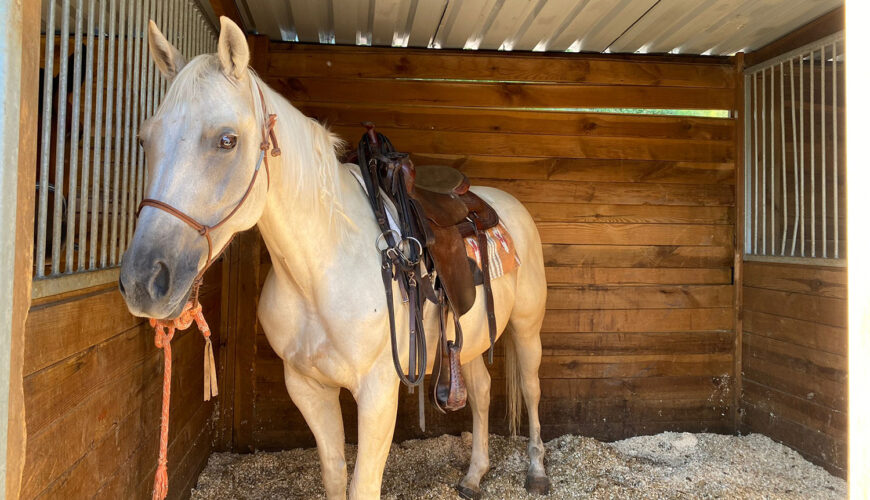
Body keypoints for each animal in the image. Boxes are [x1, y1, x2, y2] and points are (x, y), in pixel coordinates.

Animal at [119, 16, 548, 500]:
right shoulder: (308, 387)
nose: (144, 279)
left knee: (530, 388)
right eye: (145, 139)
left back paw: (536, 471)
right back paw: (475, 474)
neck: (319, 272)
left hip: (527, 326)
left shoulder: (379, 391)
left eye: (227, 140)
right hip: (467, 337)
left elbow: (362, 483)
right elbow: (334, 472)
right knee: (480, 390)